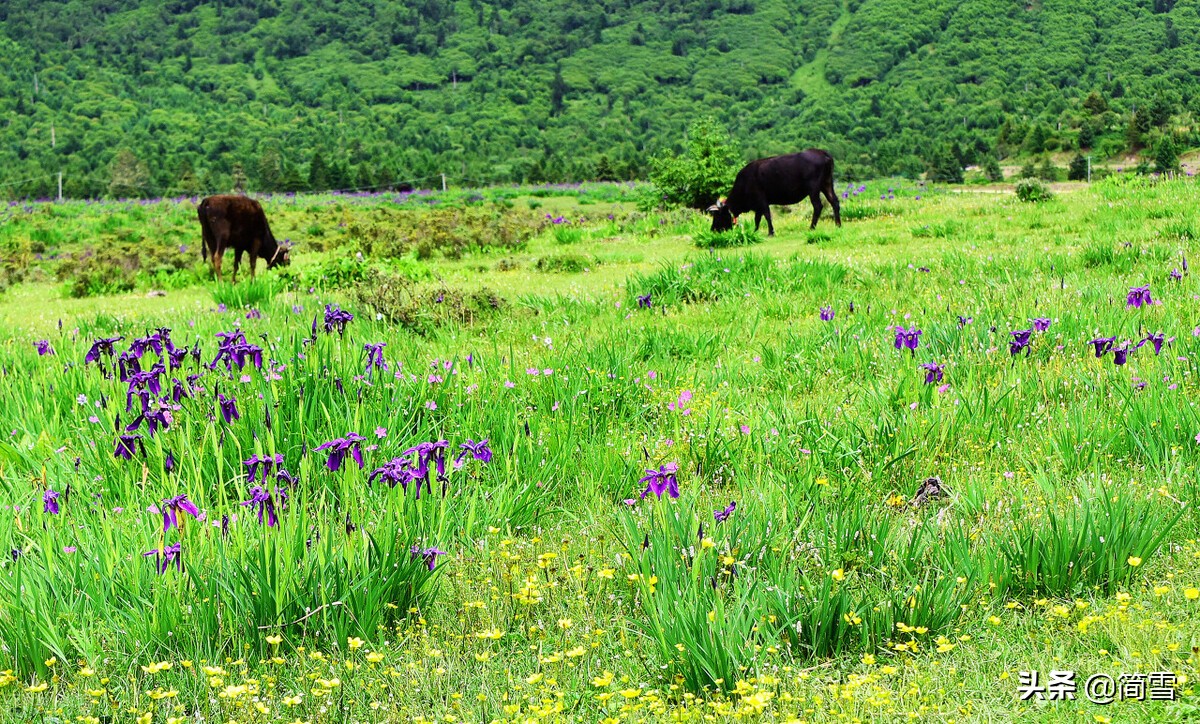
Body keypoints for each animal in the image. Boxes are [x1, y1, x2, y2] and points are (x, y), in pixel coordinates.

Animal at [705, 148, 840, 235]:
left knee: (818, 206)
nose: (712, 230)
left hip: (813, 189)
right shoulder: (757, 205)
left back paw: (812, 227)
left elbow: (767, 215)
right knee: (834, 202)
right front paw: (755, 231)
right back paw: (838, 225)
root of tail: (822, 153)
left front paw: (771, 232)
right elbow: (757, 219)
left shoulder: (762, 201)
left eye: (717, 216)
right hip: (827, 184)